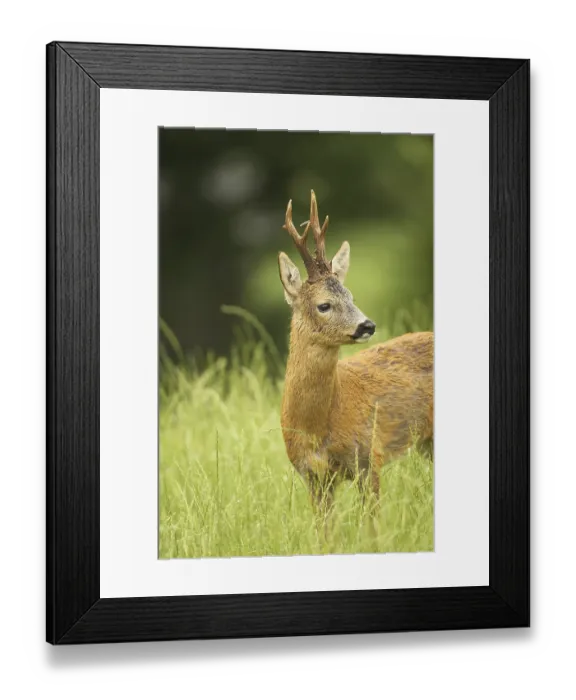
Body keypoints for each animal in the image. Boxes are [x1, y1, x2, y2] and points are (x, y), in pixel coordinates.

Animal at [278, 190, 434, 518]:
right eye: (324, 305)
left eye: (351, 296)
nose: (367, 325)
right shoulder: (312, 476)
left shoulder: (368, 458)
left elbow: (372, 525)